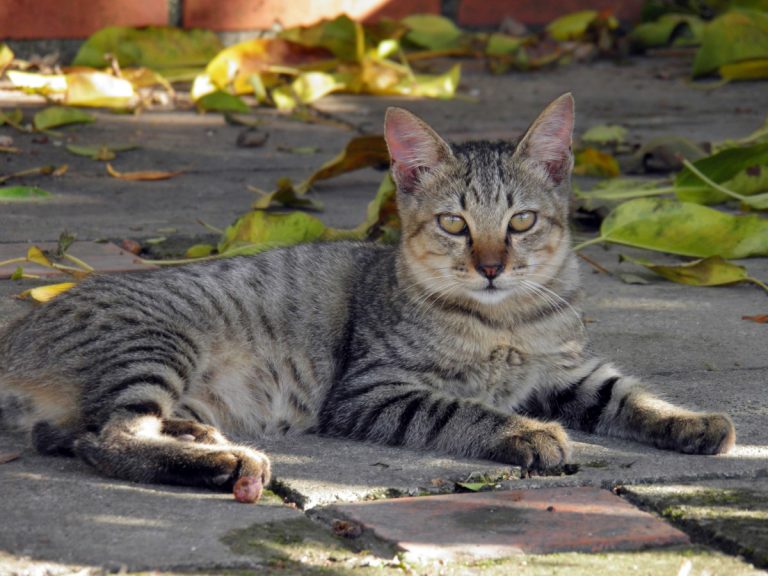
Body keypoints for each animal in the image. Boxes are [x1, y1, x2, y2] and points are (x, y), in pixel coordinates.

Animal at [0, 93, 736, 490]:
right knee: (108, 436)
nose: (492, 266)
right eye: (453, 224)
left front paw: (692, 421)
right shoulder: (372, 391)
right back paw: (226, 463)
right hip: (154, 343)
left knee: (79, 433)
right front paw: (529, 433)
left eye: (522, 222)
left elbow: (632, 395)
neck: (506, 325)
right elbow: (465, 411)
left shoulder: (571, 371)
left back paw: (200, 434)